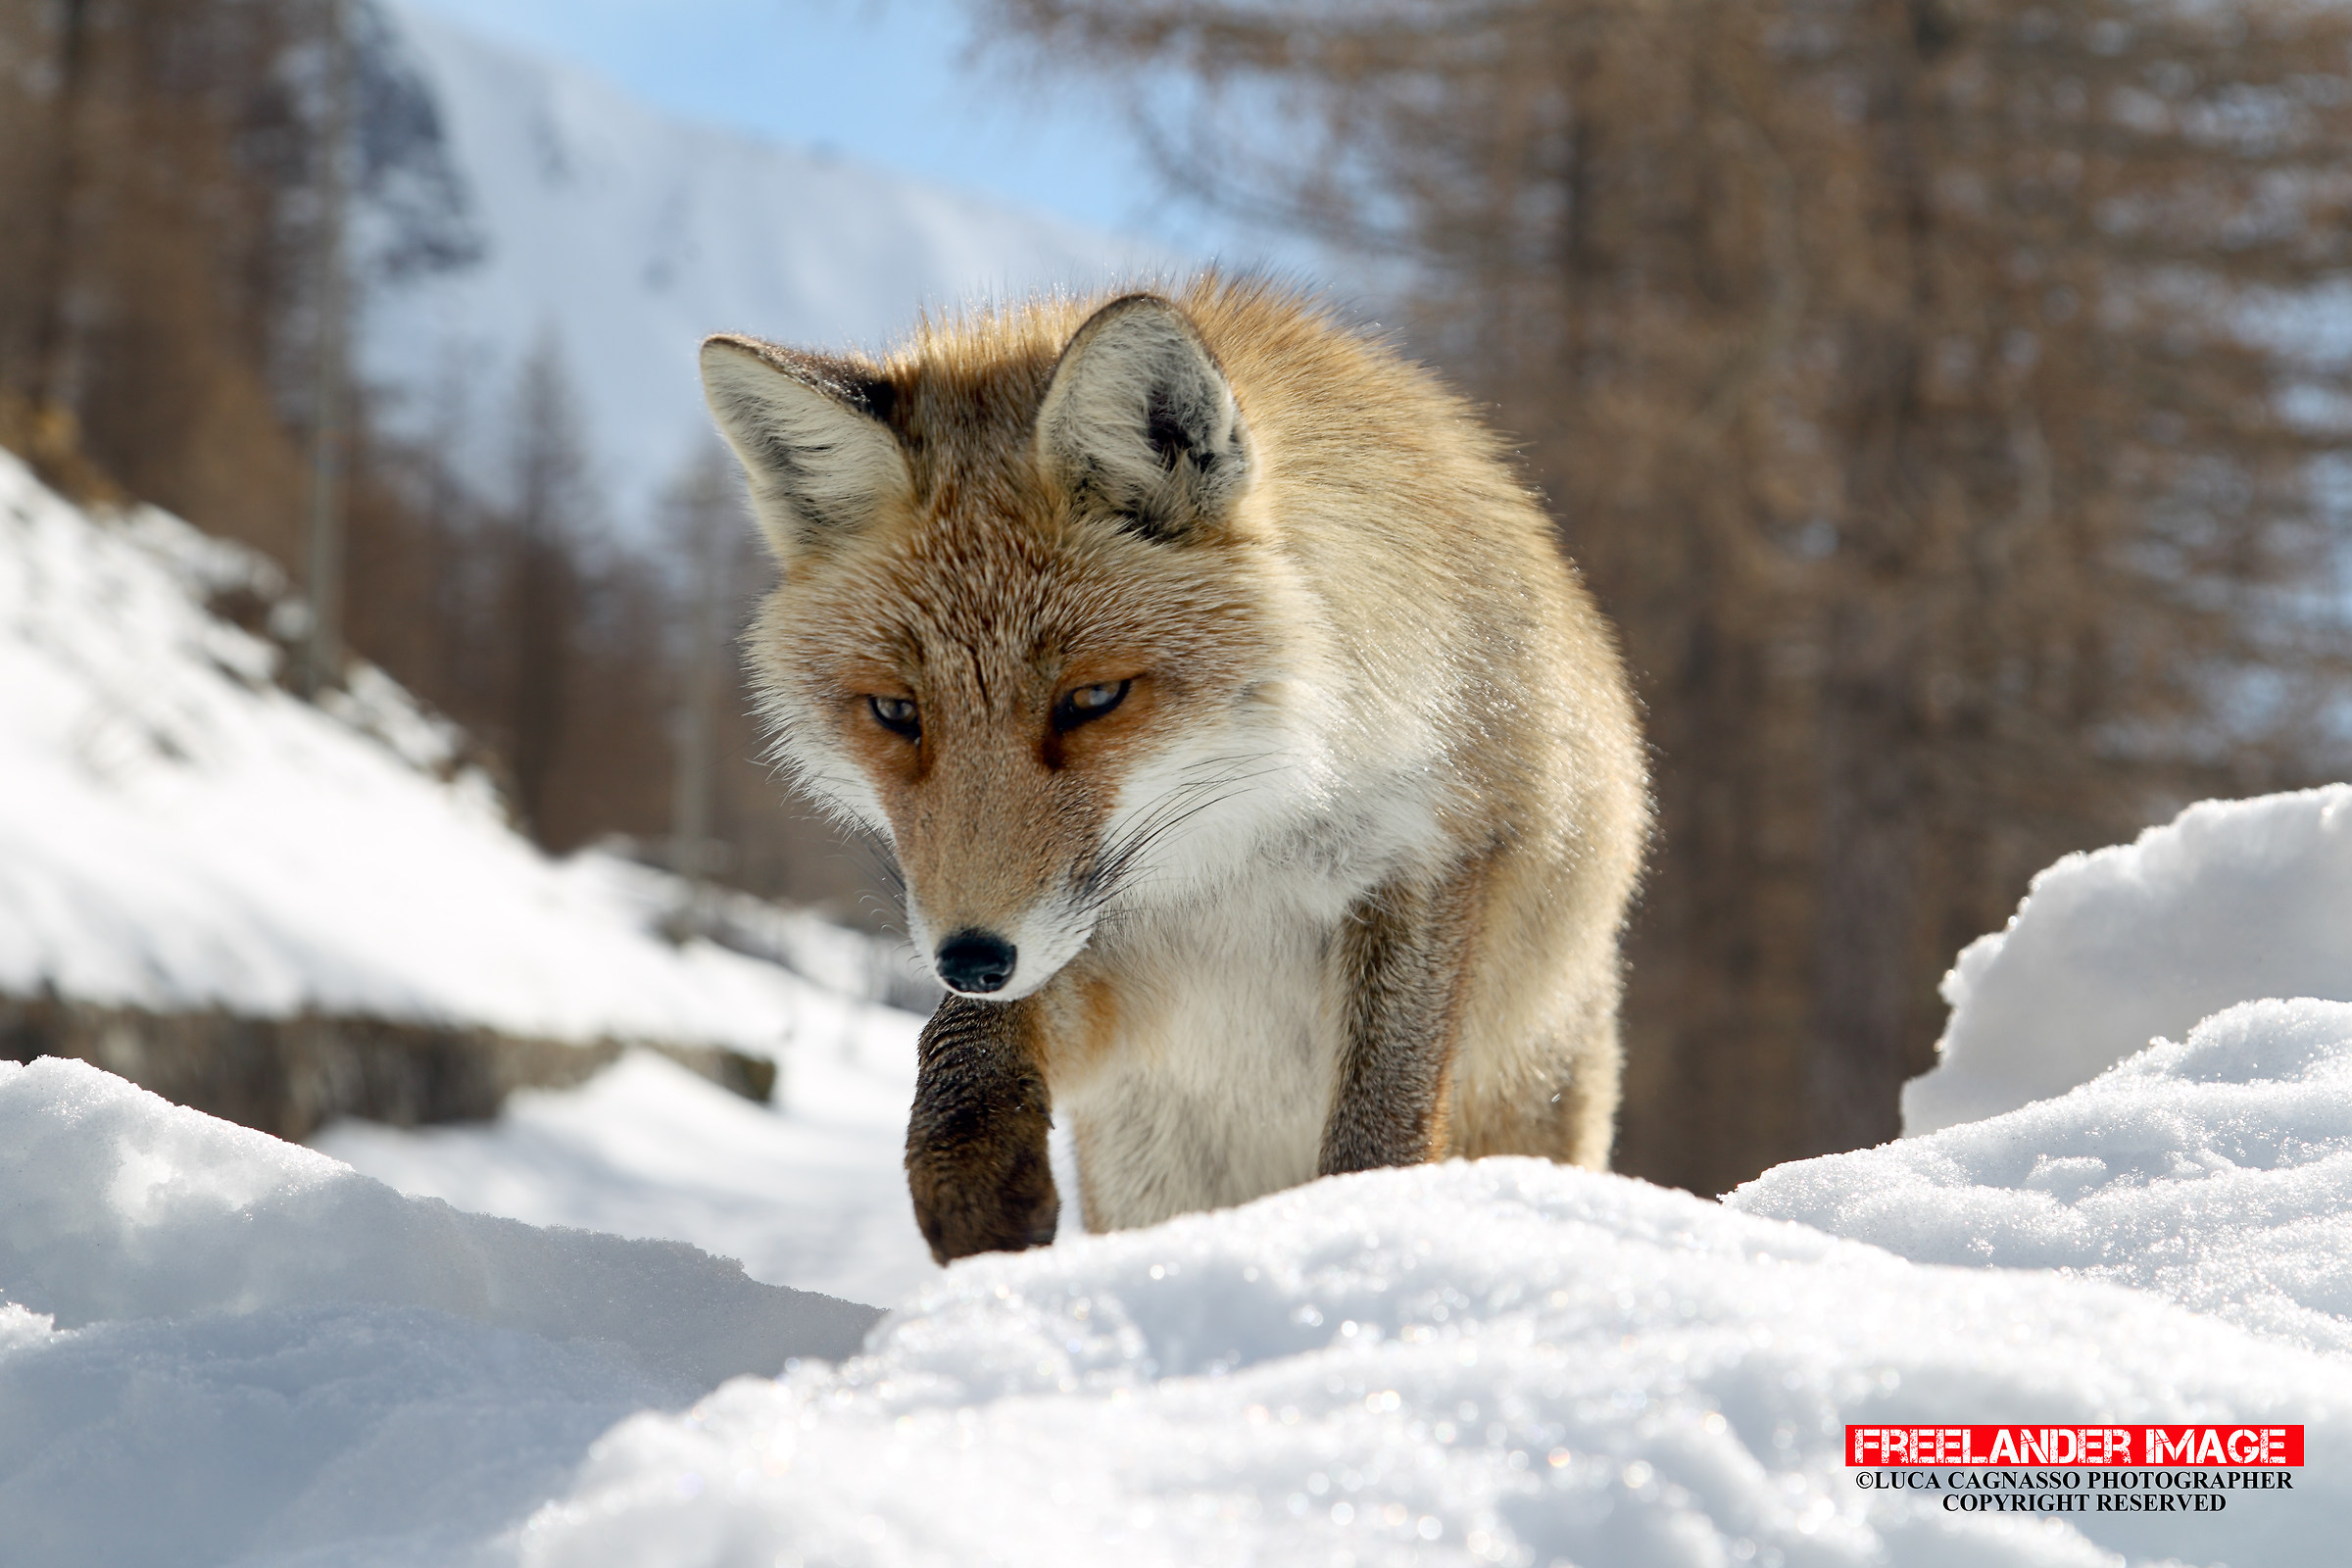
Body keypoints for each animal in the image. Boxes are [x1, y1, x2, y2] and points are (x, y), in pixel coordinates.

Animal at [700, 276, 1649, 1264]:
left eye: (1093, 697)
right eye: (896, 713)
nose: (971, 958)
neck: (1236, 854)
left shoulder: (1436, 854)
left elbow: (1375, 1138)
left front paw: (1352, 1227)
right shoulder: (1116, 966)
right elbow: (961, 1039)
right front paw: (973, 1184)